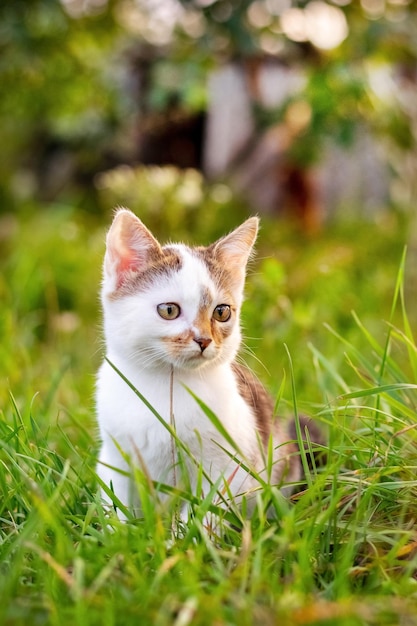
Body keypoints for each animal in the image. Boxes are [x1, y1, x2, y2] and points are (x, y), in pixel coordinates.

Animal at [96, 207, 312, 520]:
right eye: (169, 310)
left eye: (222, 312)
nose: (203, 340)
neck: (168, 387)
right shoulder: (115, 458)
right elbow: (117, 504)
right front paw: (120, 531)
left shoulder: (230, 467)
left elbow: (205, 513)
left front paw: (183, 533)